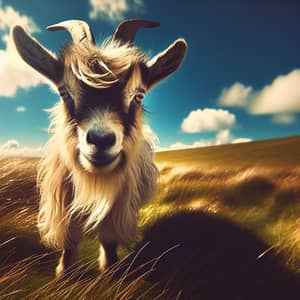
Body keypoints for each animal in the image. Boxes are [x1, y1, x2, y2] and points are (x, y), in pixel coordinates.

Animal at [12, 18, 186, 276]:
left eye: (139, 95)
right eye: (64, 92)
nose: (101, 140)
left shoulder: (120, 207)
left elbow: (109, 238)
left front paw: (111, 268)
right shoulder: (63, 205)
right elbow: (70, 238)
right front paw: (65, 272)